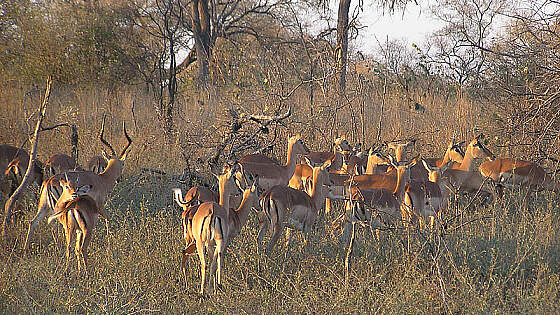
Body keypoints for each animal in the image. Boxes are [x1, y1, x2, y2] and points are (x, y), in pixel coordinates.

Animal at [24, 118, 133, 252]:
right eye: (123, 164)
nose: (119, 179)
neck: (101, 179)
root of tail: (49, 182)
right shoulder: (100, 205)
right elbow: (108, 219)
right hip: (57, 208)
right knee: (55, 226)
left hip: (44, 207)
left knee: (33, 222)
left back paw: (25, 249)